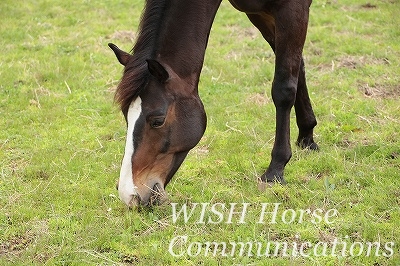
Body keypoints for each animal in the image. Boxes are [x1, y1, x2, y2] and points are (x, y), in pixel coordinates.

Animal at [108, 0, 318, 208]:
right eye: (126, 115)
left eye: (158, 121)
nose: (130, 195)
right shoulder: (259, 14)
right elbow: (298, 68)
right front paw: (307, 136)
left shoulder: (291, 10)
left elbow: (284, 88)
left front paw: (275, 170)